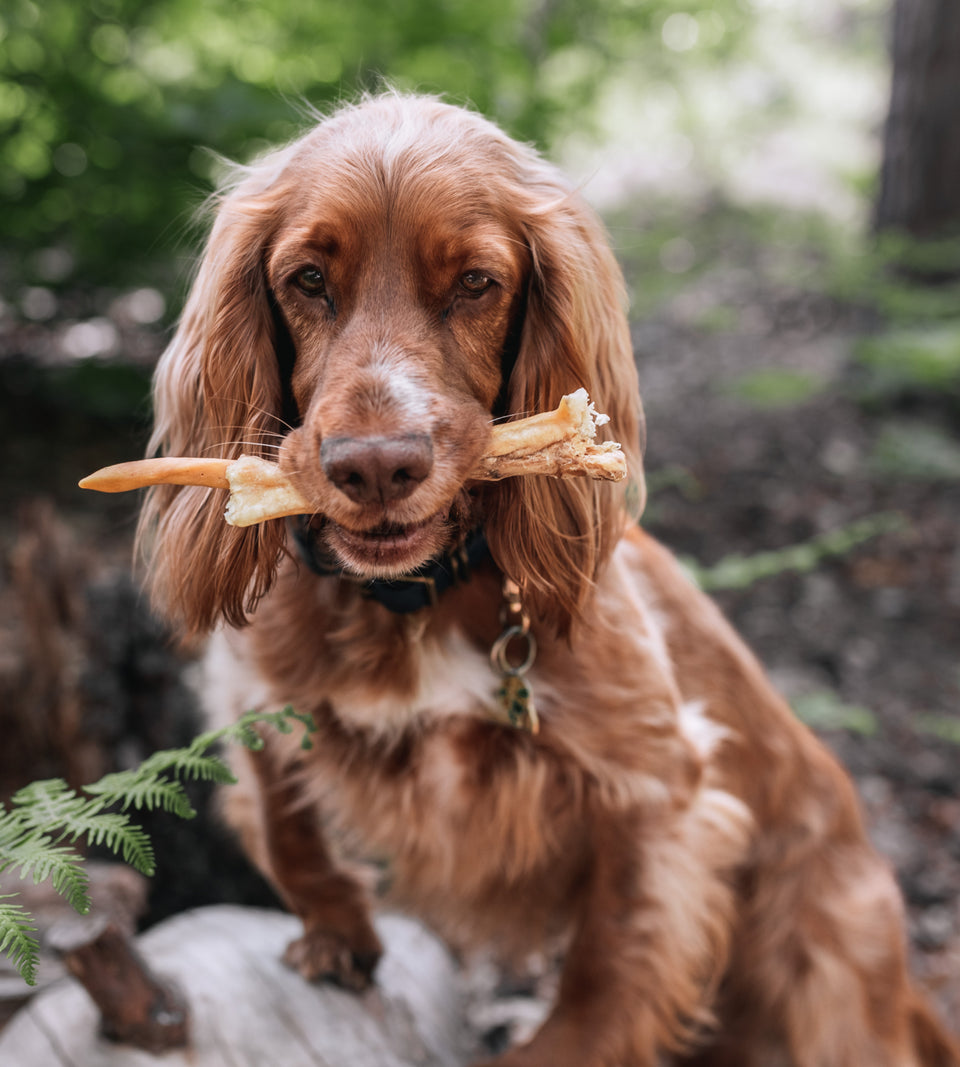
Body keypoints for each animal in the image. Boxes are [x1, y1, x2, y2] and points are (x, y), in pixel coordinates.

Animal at [138, 96, 955, 1062]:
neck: (414, 602)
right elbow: (280, 818)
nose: (375, 467)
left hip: (826, 977)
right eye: (306, 278)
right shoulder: (250, 686)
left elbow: (608, 970)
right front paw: (339, 932)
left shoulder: (658, 791)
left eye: (476, 283)